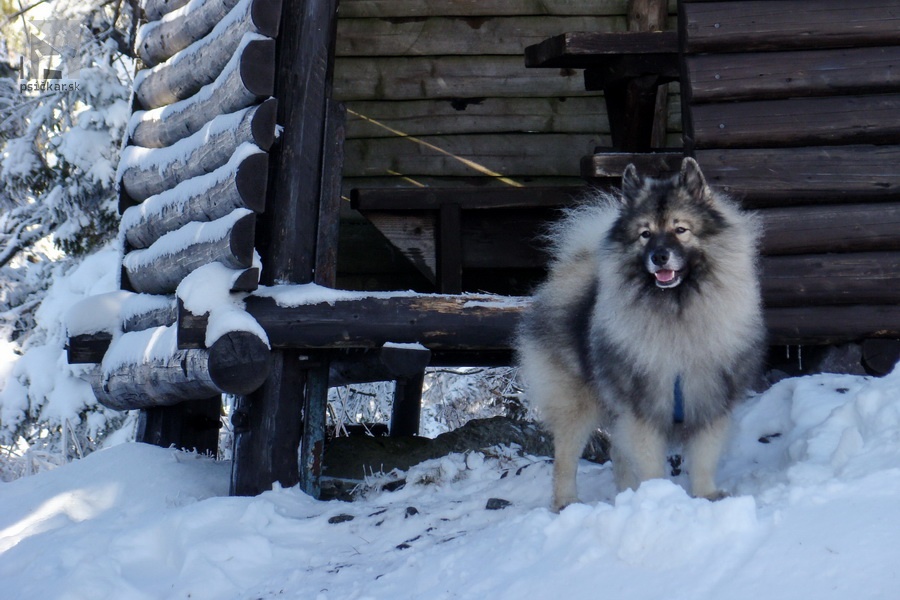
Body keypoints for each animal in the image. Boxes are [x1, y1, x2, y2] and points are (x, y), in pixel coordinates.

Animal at [516, 156, 764, 510]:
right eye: (645, 234)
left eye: (680, 229)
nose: (659, 256)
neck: (677, 313)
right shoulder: (642, 407)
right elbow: (649, 461)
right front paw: (659, 495)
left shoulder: (709, 401)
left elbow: (704, 457)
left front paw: (705, 495)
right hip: (576, 402)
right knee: (566, 456)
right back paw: (567, 501)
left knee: (618, 454)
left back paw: (627, 495)